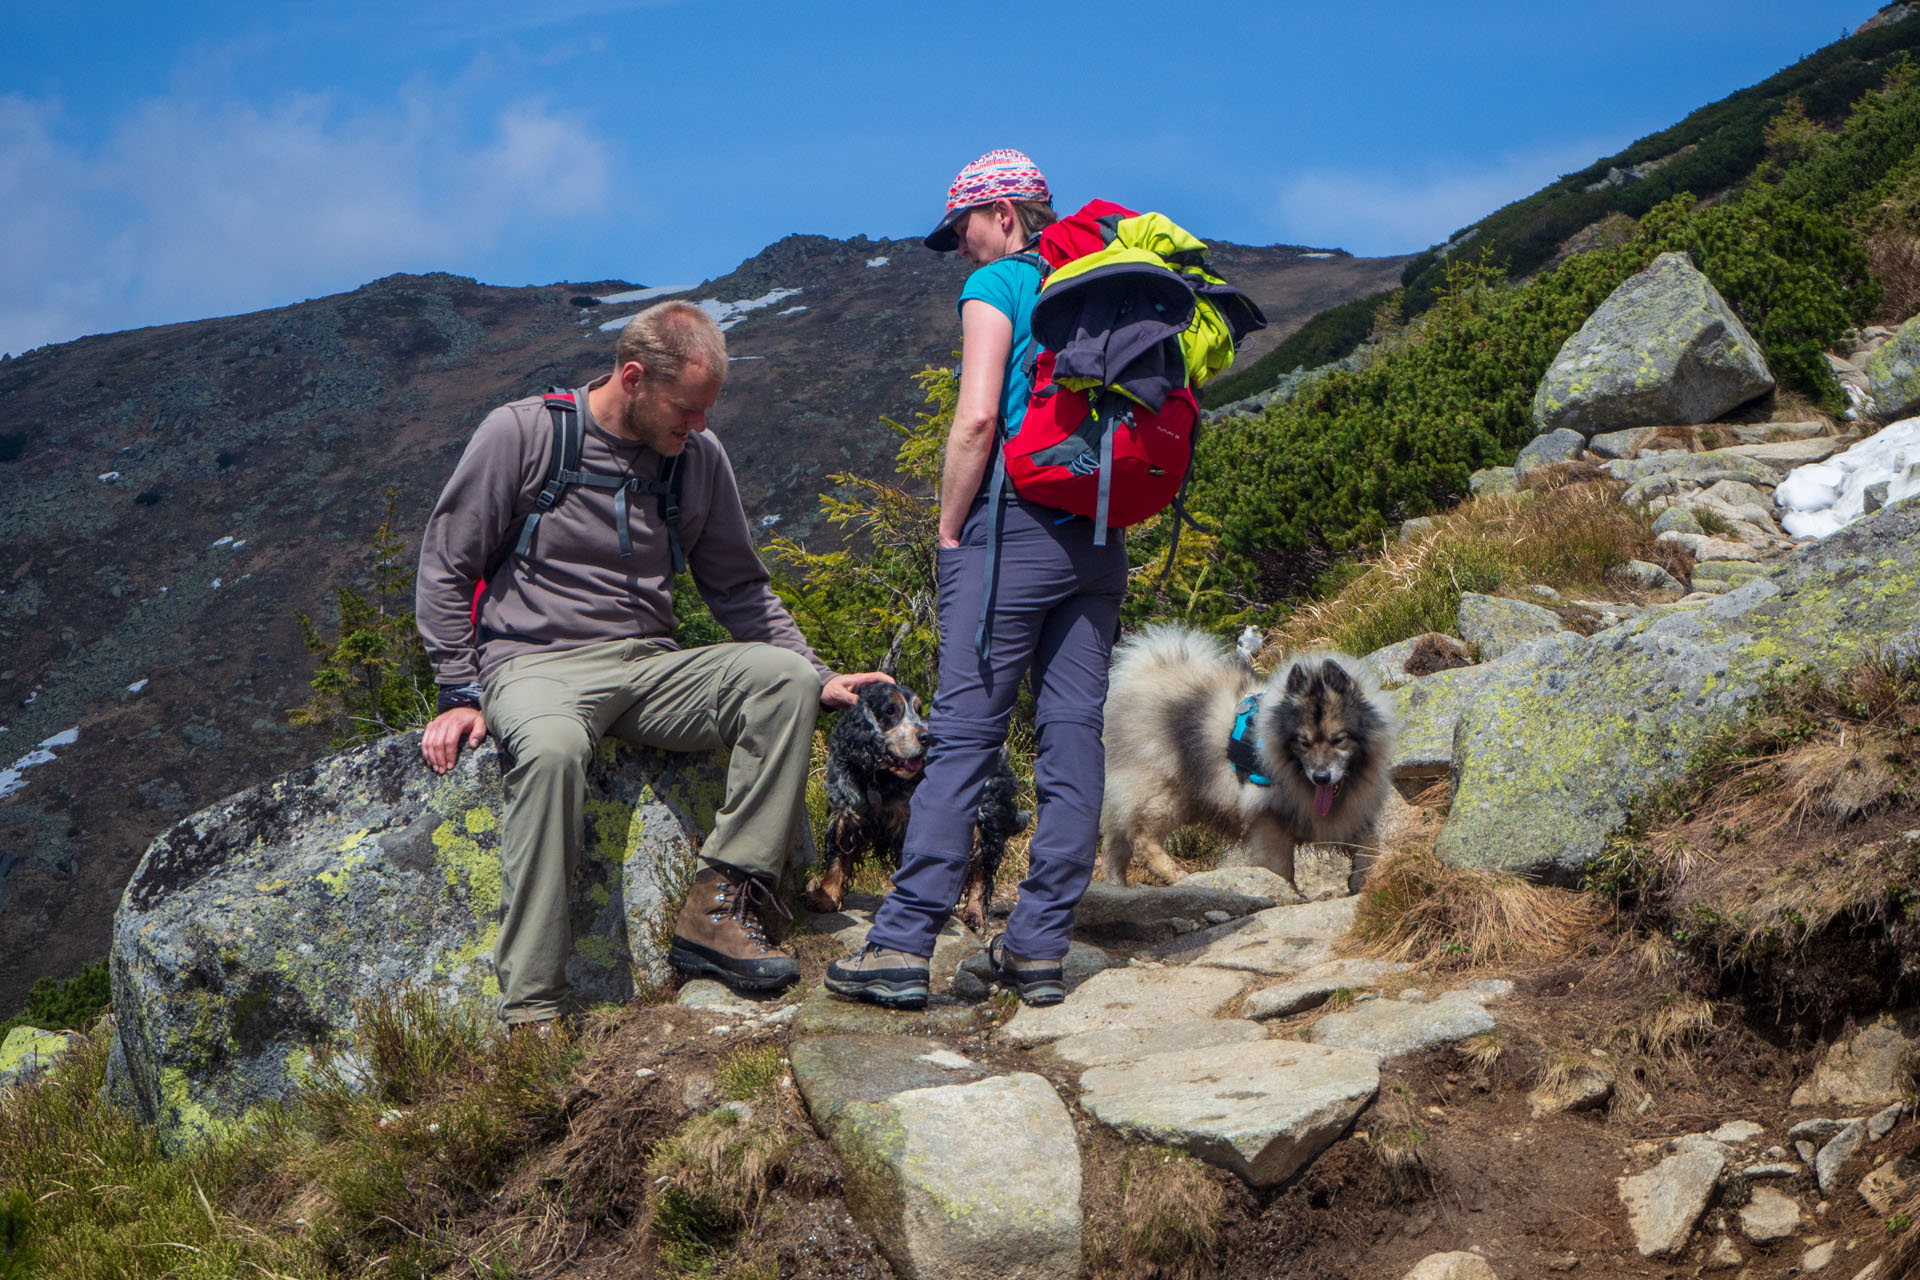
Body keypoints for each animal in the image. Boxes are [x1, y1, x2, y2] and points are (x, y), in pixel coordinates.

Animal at [1098, 625, 1397, 898]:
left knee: (1115, 845)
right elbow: (1280, 866)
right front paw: (1287, 893)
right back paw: (1176, 874)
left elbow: (1370, 846)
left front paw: (1362, 880)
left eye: (1339, 740)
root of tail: (1137, 677)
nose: (1321, 777)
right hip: (1165, 792)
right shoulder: (1269, 818)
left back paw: (1118, 887)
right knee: (1140, 838)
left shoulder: (1353, 812)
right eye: (1304, 743)